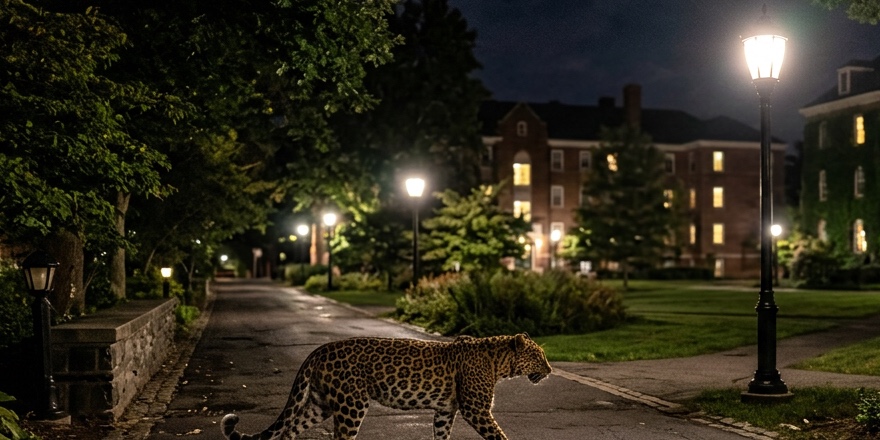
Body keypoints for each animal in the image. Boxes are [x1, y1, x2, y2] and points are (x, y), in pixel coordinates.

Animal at [220, 333, 552, 440]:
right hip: (351, 404)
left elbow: (441, 435)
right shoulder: (476, 409)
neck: (498, 364)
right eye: (538, 356)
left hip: (320, 404)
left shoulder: (445, 410)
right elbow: (498, 436)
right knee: (339, 437)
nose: (549, 370)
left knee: (289, 430)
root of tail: (317, 351)